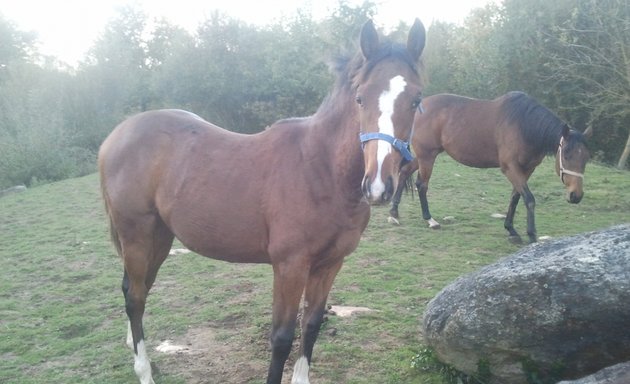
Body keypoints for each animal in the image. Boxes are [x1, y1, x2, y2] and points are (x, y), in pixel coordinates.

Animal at [99, 18, 428, 384]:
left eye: (416, 99)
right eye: (360, 97)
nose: (378, 185)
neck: (321, 169)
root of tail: (117, 136)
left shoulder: (330, 264)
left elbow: (311, 325)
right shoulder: (289, 266)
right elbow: (282, 337)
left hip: (159, 236)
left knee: (138, 288)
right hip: (137, 235)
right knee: (135, 296)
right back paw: (144, 370)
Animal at [390, 91, 592, 242]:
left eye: (586, 158)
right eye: (566, 154)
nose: (576, 196)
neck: (523, 126)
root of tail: (418, 108)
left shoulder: (527, 169)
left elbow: (515, 197)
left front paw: (511, 229)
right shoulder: (510, 167)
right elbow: (529, 199)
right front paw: (531, 234)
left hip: (425, 155)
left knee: (404, 171)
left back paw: (394, 213)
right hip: (427, 156)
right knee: (422, 185)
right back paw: (429, 220)